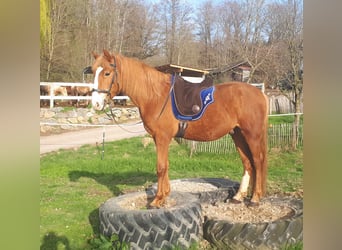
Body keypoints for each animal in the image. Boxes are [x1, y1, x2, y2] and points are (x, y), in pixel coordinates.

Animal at [89, 49, 268, 207]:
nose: (96, 104)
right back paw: (238, 197)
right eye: (93, 72)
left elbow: (161, 167)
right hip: (237, 134)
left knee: (257, 162)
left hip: (252, 135)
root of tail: (260, 94)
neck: (156, 96)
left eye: (107, 73)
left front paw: (157, 200)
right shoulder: (159, 138)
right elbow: (165, 166)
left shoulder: (162, 137)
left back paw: (255, 199)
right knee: (247, 163)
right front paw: (164, 195)